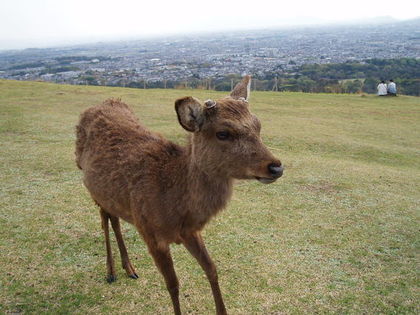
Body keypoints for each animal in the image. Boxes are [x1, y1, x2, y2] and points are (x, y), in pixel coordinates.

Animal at [75, 75, 284, 314]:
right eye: (223, 133)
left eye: (258, 126)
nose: (276, 167)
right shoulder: (150, 231)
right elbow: (173, 284)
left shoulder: (189, 231)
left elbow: (212, 269)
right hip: (93, 189)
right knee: (104, 220)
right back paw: (110, 272)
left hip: (113, 198)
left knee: (114, 219)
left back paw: (129, 268)